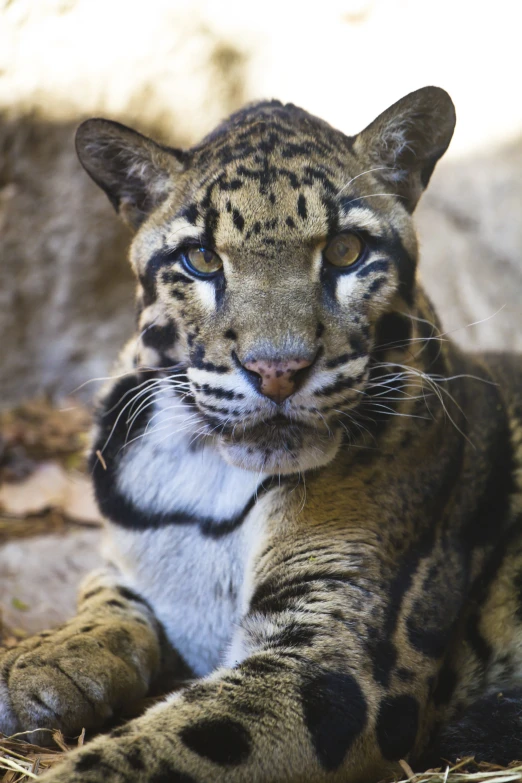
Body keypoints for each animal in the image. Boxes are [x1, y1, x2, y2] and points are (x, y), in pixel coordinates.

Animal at [2, 89, 516, 780]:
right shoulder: (127, 561)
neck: (205, 469)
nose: (277, 370)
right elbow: (103, 593)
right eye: (200, 259)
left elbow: (159, 749)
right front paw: (44, 659)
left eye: (346, 251)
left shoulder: (333, 659)